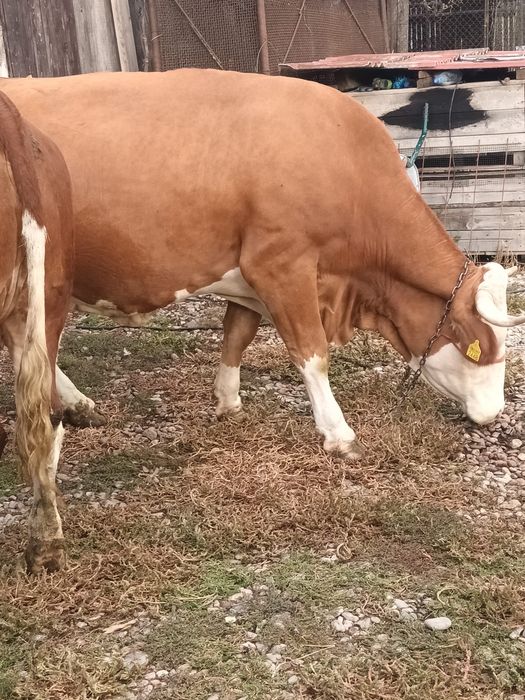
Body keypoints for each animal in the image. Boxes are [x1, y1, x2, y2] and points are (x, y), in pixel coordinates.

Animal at [2, 70, 523, 461]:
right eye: (477, 344)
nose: (494, 413)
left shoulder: (248, 272)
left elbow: (238, 334)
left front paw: (228, 401)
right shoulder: (281, 263)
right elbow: (312, 352)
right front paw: (338, 434)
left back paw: (77, 404)